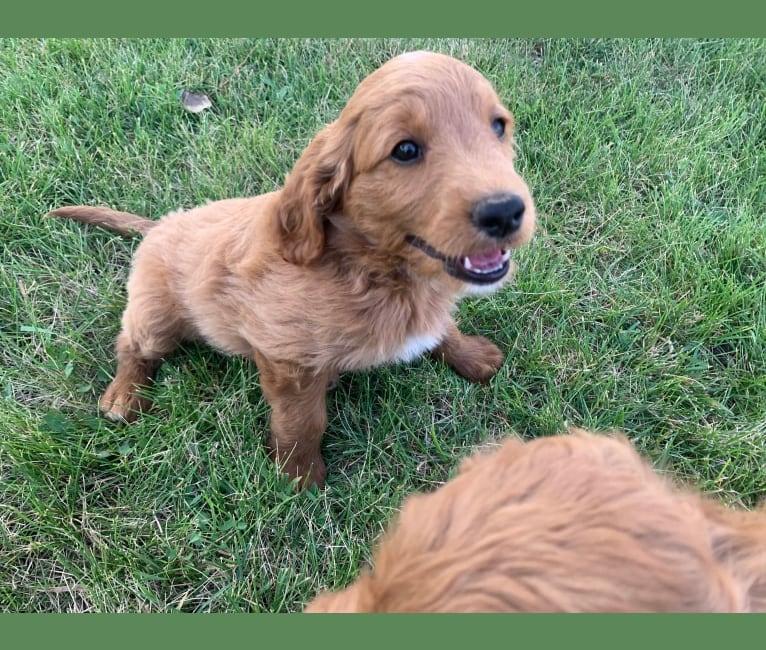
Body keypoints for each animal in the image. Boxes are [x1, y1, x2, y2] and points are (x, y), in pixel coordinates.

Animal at [48, 50, 536, 486]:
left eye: (498, 126)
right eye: (406, 150)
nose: (505, 211)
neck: (369, 268)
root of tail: (162, 223)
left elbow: (441, 328)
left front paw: (471, 355)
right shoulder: (286, 355)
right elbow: (302, 419)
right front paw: (298, 475)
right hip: (156, 312)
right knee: (133, 344)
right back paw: (124, 395)